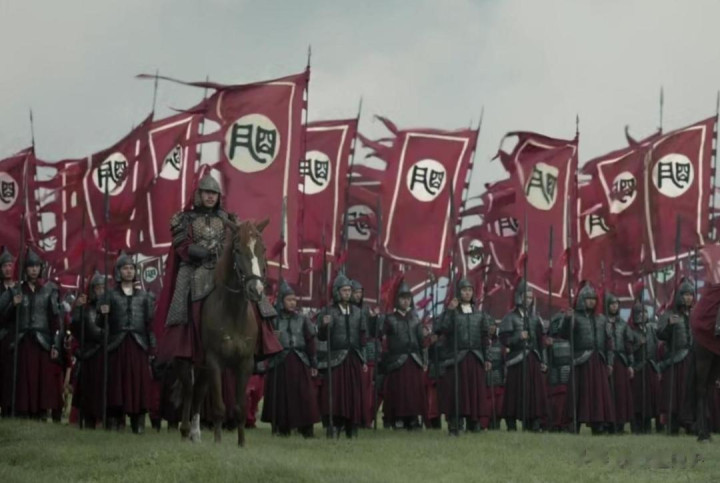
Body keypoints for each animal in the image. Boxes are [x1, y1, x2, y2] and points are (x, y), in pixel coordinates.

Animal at [177, 218, 269, 447]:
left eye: (262, 249)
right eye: (237, 249)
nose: (256, 290)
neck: (232, 311)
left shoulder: (245, 362)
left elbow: (240, 408)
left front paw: (241, 444)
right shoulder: (214, 360)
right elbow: (219, 407)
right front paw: (218, 443)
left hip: (203, 366)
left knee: (199, 390)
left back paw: (195, 433)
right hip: (187, 360)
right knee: (189, 389)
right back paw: (185, 431)